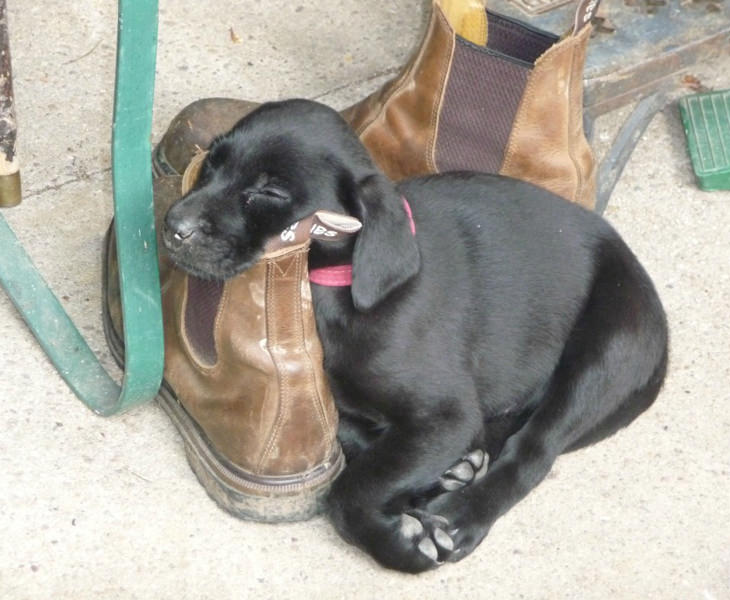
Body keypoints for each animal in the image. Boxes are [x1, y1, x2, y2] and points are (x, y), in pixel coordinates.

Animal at [162, 97, 668, 572]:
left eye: (269, 190)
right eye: (211, 164)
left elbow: (352, 487)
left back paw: (460, 514)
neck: (335, 289)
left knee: (534, 450)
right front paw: (429, 482)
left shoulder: (448, 414)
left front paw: (402, 542)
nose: (172, 227)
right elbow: (359, 442)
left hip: (605, 353)